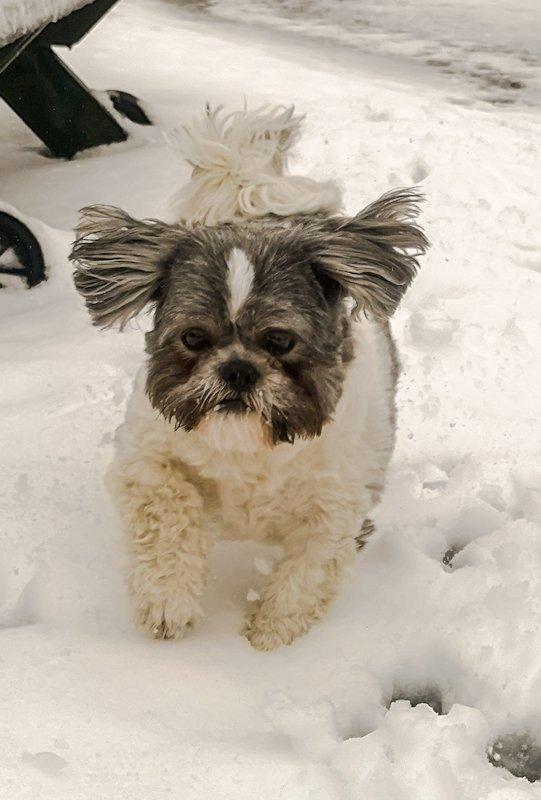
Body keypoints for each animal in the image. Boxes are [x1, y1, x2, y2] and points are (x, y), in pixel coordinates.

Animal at [70, 104, 426, 648]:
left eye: (280, 342)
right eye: (194, 337)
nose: (238, 368)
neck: (249, 449)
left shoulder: (337, 502)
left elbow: (311, 567)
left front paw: (272, 629)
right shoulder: (147, 457)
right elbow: (167, 510)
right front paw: (168, 601)